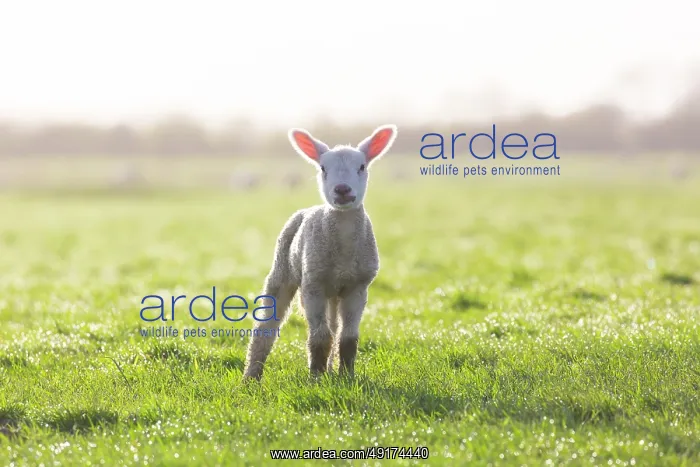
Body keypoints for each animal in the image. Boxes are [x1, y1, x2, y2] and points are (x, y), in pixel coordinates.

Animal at [243, 124, 398, 380]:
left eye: (362, 166)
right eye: (323, 168)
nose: (342, 189)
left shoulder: (358, 287)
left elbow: (348, 338)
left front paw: (346, 375)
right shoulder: (313, 284)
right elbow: (319, 337)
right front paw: (315, 377)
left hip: (334, 292)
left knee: (334, 326)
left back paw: (331, 370)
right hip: (283, 270)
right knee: (266, 328)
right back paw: (251, 377)